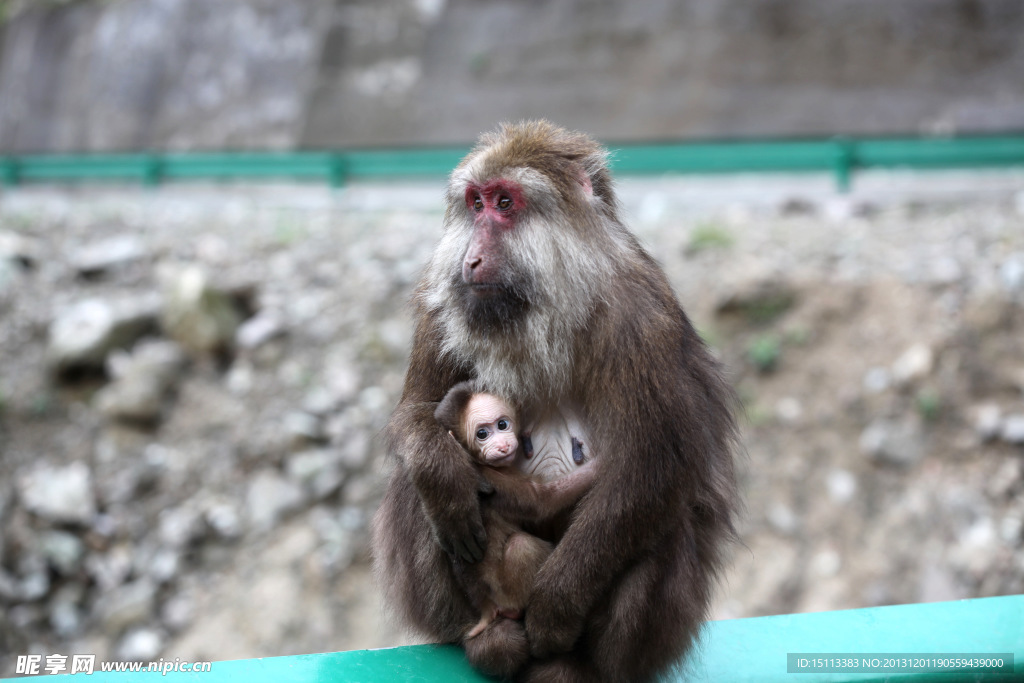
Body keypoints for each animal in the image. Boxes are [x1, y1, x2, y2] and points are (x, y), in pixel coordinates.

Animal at [434, 378, 598, 643]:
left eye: (502, 424)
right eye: (482, 434)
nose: (502, 445)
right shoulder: (491, 479)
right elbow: (540, 499)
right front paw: (602, 466)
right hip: (511, 593)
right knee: (521, 546)